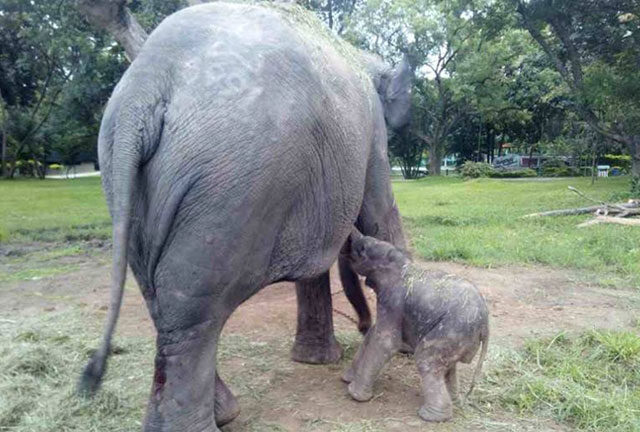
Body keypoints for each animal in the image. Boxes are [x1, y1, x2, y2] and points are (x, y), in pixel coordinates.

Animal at [78, 2, 411, 431]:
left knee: (159, 299)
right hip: (229, 182)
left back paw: (214, 412)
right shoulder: (372, 135)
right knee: (193, 311)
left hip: (128, 180)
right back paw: (211, 420)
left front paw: (314, 360)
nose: (363, 325)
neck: (359, 54)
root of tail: (147, 83)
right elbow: (379, 209)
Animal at [341, 230, 489, 422]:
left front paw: (355, 395)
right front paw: (347, 380)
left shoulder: (393, 300)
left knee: (426, 359)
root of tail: (486, 324)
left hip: (453, 330)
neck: (400, 263)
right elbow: (373, 334)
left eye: (363, 248)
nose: (350, 237)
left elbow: (386, 342)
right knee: (446, 366)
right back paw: (453, 403)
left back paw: (430, 416)